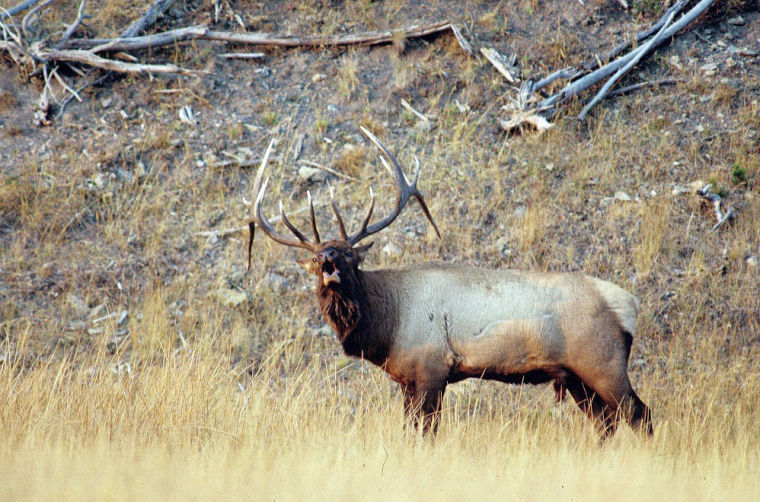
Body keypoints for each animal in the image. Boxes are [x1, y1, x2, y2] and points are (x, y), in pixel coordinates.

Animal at [249, 127, 652, 438]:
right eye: (317, 259)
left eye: (350, 255)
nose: (330, 261)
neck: (387, 324)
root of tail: (630, 304)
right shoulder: (408, 380)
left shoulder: (432, 370)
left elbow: (426, 435)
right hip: (575, 378)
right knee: (607, 424)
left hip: (603, 363)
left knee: (639, 416)